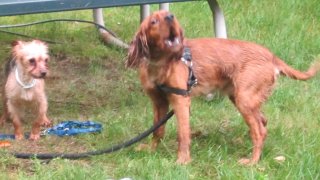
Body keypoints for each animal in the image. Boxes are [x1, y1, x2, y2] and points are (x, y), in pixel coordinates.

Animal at [126, 9, 318, 165]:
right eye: (153, 21)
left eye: (169, 15)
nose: (170, 16)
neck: (160, 63)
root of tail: (271, 56)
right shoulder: (159, 102)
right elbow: (157, 130)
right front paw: (151, 150)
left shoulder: (181, 99)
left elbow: (183, 134)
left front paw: (182, 160)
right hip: (241, 97)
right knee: (262, 122)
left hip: (244, 99)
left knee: (260, 131)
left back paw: (252, 162)